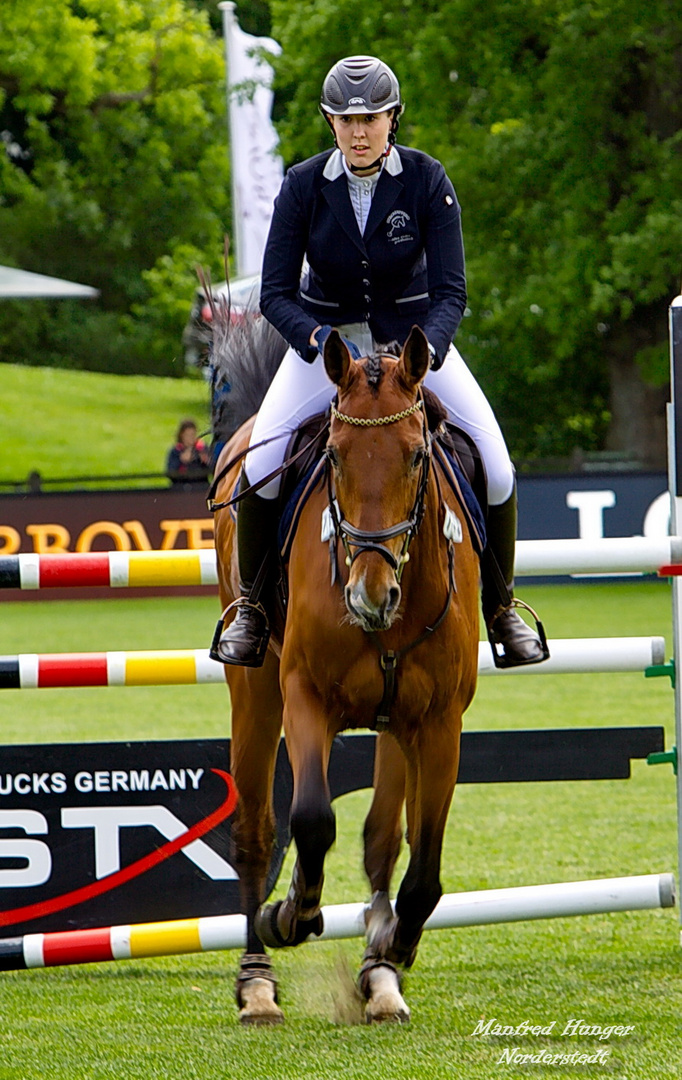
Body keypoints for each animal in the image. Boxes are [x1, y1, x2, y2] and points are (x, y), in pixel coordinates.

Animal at [211, 324, 479, 1023]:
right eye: (332, 455)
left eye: (416, 456)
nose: (370, 596)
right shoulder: (304, 697)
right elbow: (310, 819)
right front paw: (292, 913)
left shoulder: (438, 723)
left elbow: (423, 869)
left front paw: (393, 951)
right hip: (254, 692)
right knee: (255, 831)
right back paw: (257, 984)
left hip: (395, 723)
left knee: (382, 837)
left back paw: (380, 978)